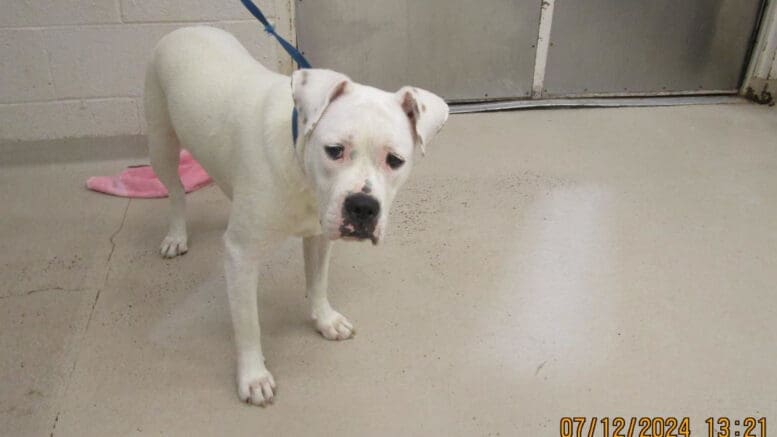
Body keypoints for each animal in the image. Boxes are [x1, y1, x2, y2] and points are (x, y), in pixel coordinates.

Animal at [144, 27, 448, 406]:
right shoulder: (241, 256)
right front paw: (254, 376)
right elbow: (248, 323)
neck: (300, 166)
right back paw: (176, 235)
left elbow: (317, 283)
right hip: (160, 144)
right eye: (334, 150)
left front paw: (325, 320)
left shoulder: (319, 237)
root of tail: (186, 28)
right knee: (175, 190)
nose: (363, 206)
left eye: (395, 160)